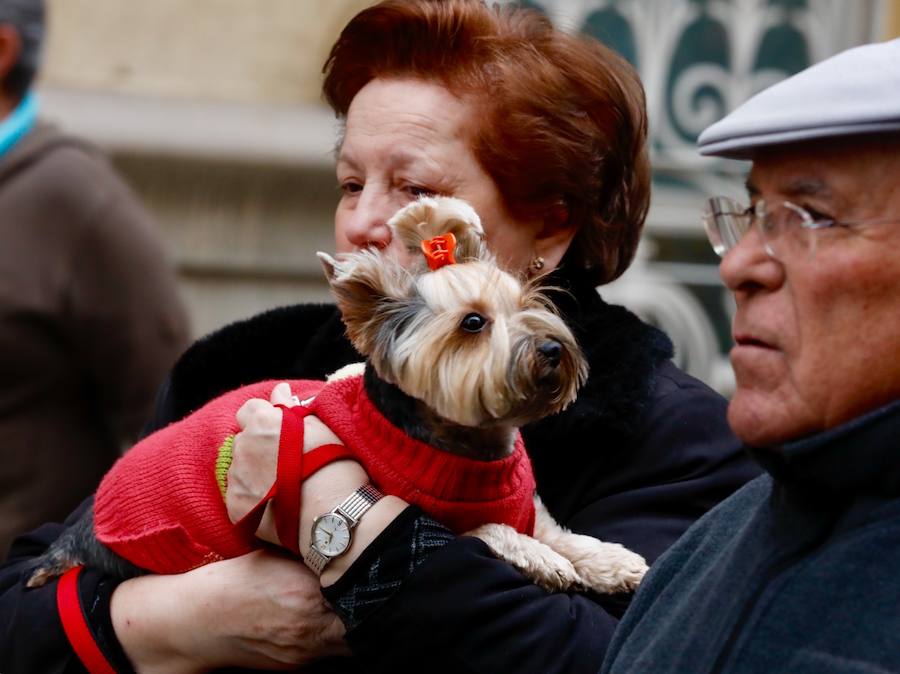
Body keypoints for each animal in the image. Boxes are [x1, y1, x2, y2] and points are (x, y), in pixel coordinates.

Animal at [28, 196, 648, 592]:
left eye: (530, 303)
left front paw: (610, 561)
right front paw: (545, 560)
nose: (552, 349)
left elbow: (556, 529)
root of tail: (78, 538)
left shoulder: (530, 506)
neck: (469, 445)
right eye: (473, 323)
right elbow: (492, 530)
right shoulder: (436, 514)